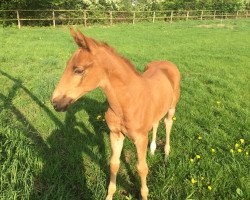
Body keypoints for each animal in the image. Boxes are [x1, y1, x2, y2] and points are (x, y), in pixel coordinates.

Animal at [51, 28, 180, 200]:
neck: (127, 102)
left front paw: (144, 194)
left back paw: (165, 155)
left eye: (78, 70)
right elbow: (114, 164)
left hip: (172, 108)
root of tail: (167, 63)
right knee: (155, 122)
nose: (55, 102)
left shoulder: (140, 139)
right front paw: (109, 195)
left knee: (167, 123)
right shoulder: (115, 134)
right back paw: (153, 150)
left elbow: (142, 168)